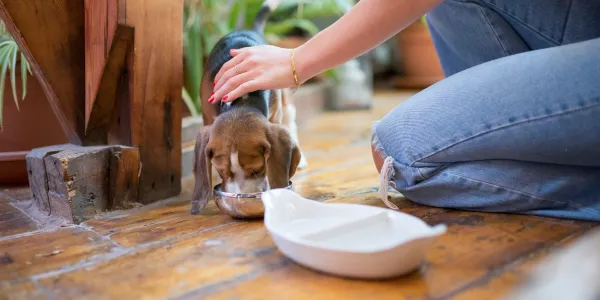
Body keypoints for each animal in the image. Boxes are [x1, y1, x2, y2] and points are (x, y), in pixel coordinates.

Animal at [191, 1, 304, 214]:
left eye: (257, 169)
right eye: (221, 171)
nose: (241, 199)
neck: (242, 100)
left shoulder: (274, 116)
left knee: (290, 118)